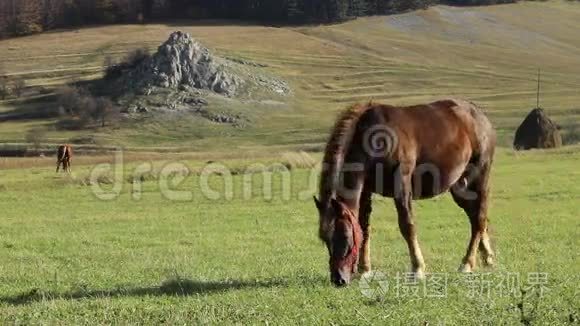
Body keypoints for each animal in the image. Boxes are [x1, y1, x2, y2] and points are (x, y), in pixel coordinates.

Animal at [314, 98, 496, 286]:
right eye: (325, 238)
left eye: (344, 236)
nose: (338, 279)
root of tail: (478, 114)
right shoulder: (366, 190)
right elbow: (364, 227)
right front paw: (365, 271)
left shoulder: (401, 184)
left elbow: (407, 226)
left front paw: (417, 269)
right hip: (459, 187)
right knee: (476, 217)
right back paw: (487, 257)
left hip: (479, 178)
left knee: (479, 218)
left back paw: (467, 263)